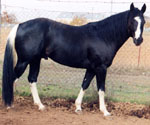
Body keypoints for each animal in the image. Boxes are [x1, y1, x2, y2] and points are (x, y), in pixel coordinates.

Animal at [1, 2, 146, 116]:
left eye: (143, 22)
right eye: (132, 21)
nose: (138, 40)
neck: (103, 36)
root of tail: (20, 25)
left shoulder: (91, 68)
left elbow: (85, 85)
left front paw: (78, 108)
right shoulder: (101, 68)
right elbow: (101, 88)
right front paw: (105, 111)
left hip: (35, 60)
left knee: (32, 79)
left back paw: (40, 106)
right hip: (24, 61)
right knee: (12, 78)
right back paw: (9, 104)